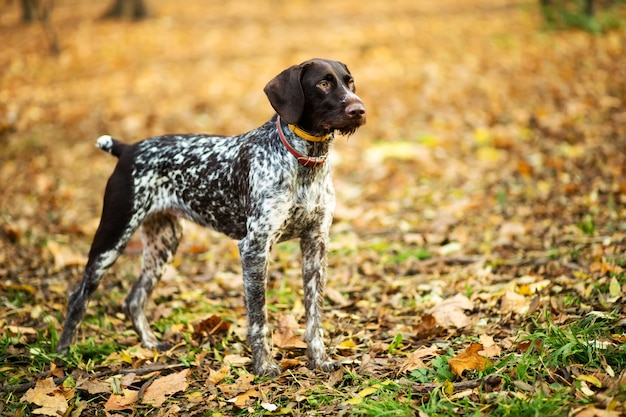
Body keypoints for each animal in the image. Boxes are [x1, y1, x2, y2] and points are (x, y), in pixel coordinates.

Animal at [56, 57, 366, 374]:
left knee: (134, 299)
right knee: (78, 296)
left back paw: (150, 344)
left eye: (350, 82)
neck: (304, 160)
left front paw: (319, 358)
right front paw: (264, 366)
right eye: (323, 83)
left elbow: (314, 313)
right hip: (113, 236)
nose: (359, 110)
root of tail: (128, 149)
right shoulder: (254, 248)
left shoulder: (315, 243)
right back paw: (63, 353)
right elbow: (259, 317)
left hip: (164, 242)